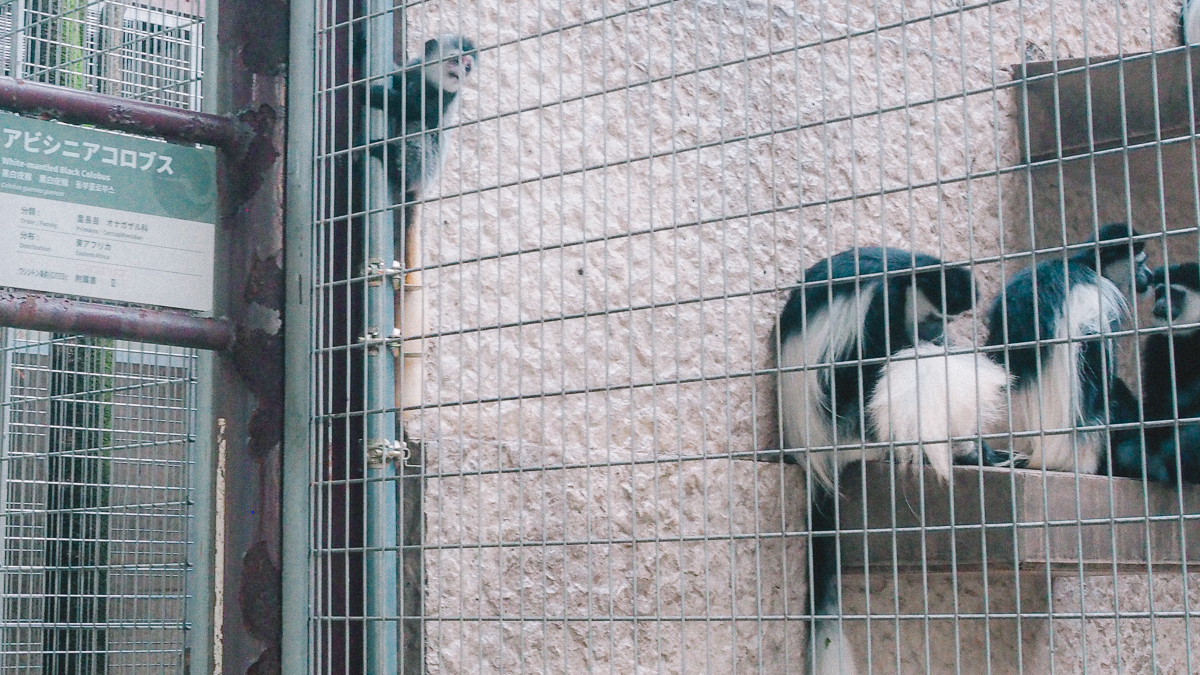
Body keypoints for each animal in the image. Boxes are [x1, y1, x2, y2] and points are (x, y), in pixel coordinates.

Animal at [367, 33, 475, 247]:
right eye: (455, 61)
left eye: (467, 67)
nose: (461, 74)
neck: (429, 80)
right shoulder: (414, 69)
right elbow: (399, 78)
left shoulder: (444, 97)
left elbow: (414, 110)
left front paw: (373, 95)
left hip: (425, 168)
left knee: (419, 131)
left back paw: (390, 159)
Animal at [777, 248, 1012, 672]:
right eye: (934, 318)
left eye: (945, 321)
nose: (938, 334)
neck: (903, 274)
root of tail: (815, 457)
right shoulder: (879, 305)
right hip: (853, 429)